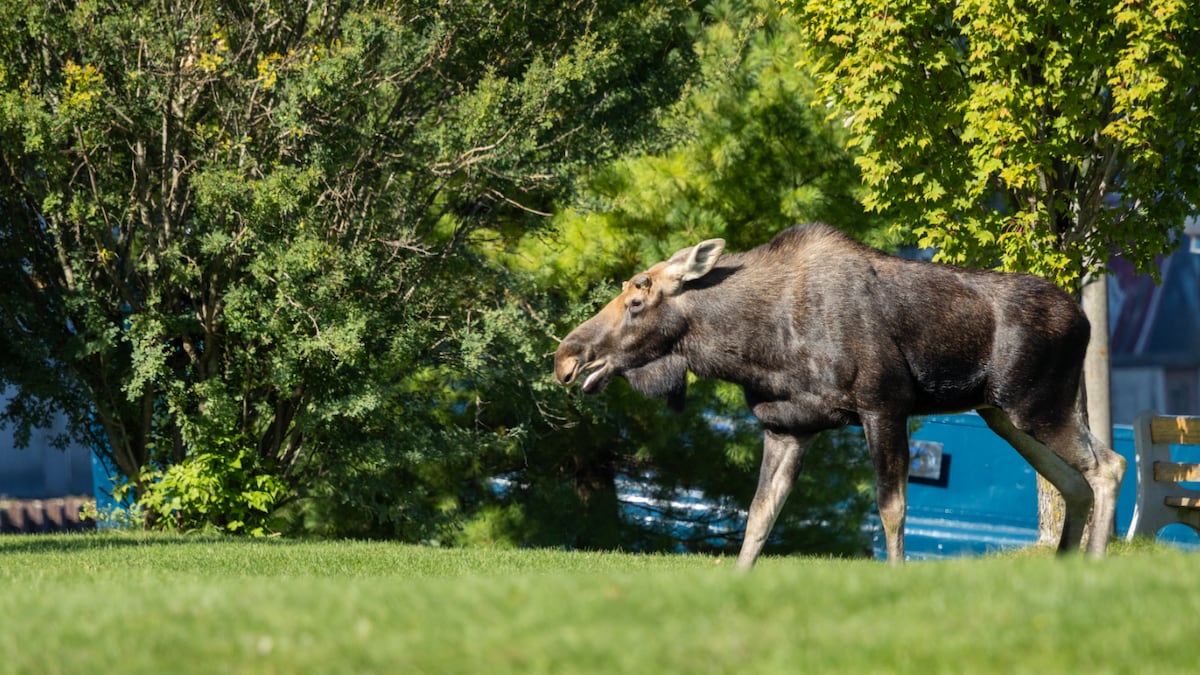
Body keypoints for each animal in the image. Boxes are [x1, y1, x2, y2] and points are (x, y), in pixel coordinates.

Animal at [554, 224, 1126, 569]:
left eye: (636, 299)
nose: (566, 358)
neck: (754, 345)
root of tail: (1084, 320)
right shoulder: (787, 425)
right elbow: (759, 516)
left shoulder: (884, 404)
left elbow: (892, 509)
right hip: (1003, 415)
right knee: (1074, 483)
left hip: (1036, 405)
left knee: (1109, 465)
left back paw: (1095, 567)